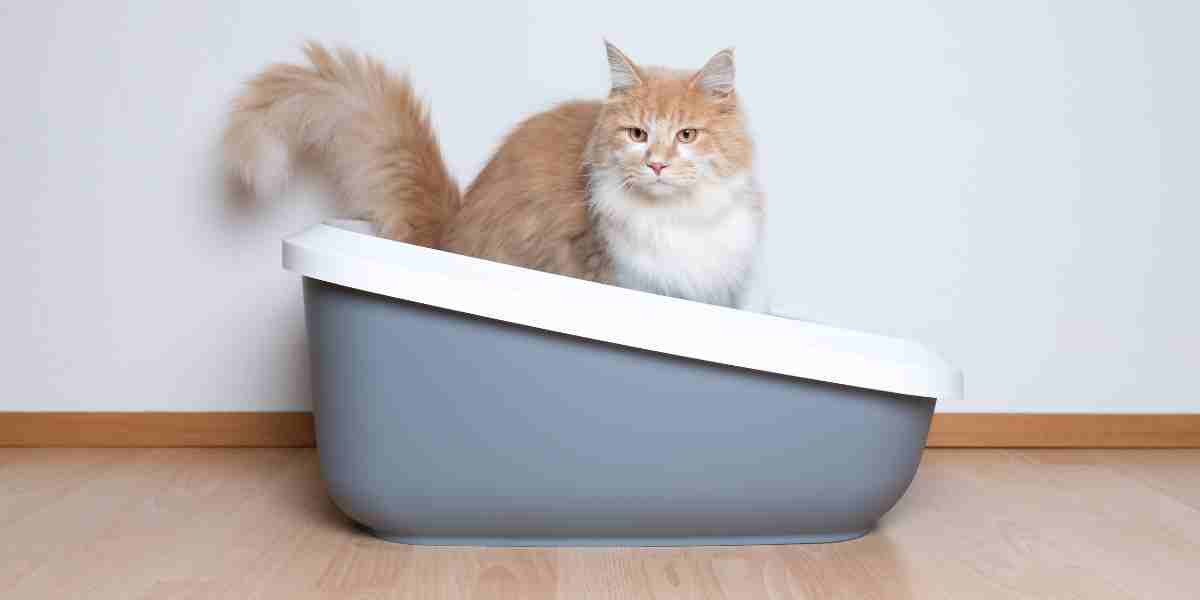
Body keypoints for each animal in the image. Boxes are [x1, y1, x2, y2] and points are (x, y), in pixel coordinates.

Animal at [225, 41, 768, 309]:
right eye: (637, 134)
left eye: (687, 135)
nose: (656, 163)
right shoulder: (620, 278)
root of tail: (446, 230)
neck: (676, 218)